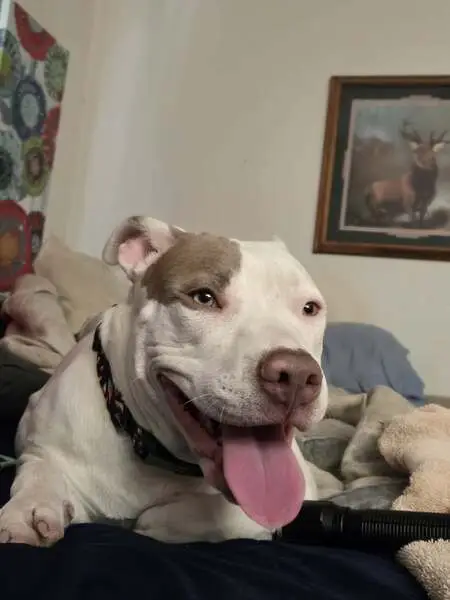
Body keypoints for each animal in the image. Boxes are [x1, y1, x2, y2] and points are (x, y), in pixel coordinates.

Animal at [0, 217, 328, 545]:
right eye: (203, 297)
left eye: (310, 308)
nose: (297, 375)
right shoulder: (38, 444)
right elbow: (39, 471)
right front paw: (30, 511)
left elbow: (178, 516)